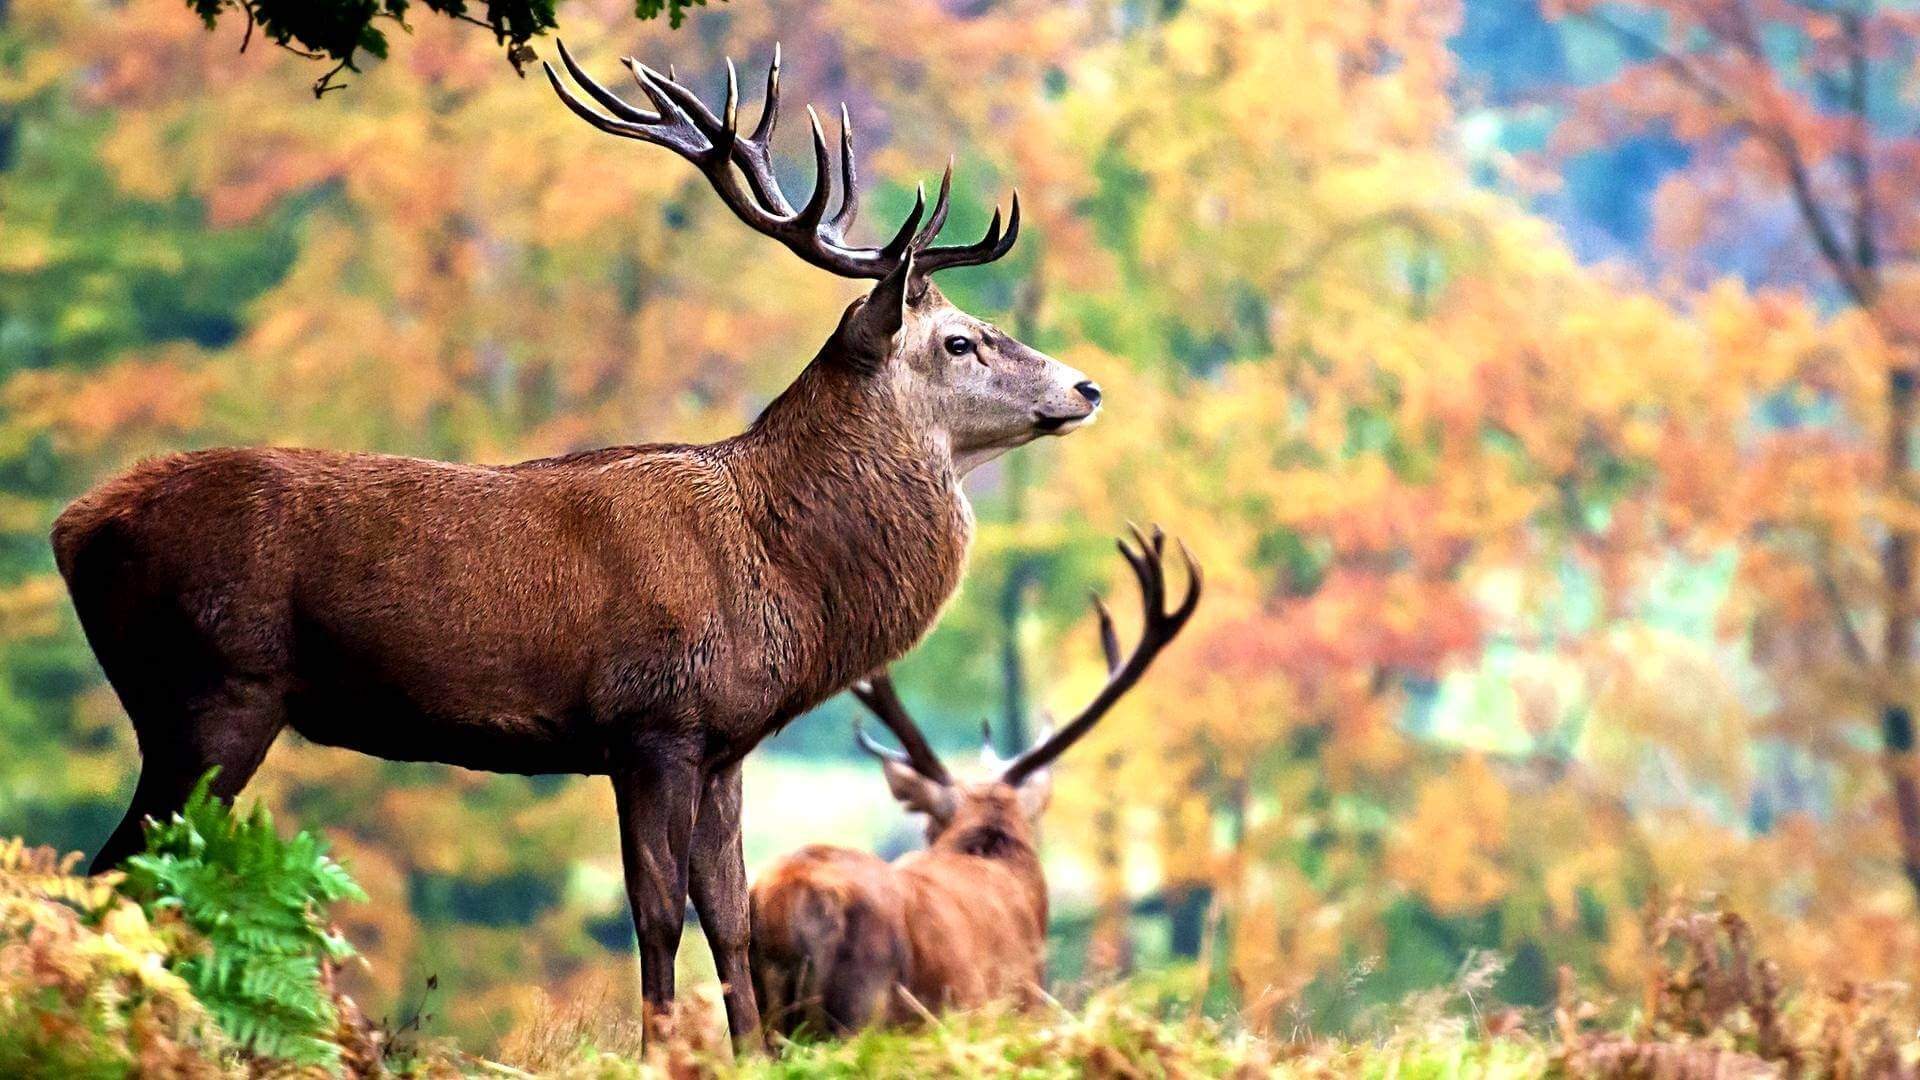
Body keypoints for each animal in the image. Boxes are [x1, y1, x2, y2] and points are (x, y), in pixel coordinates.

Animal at [52, 44, 1105, 1045]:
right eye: (960, 341)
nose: (1086, 387)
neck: (780, 578)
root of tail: (72, 527)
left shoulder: (724, 746)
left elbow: (729, 918)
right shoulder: (653, 724)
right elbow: (658, 917)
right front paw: (658, 1049)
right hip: (214, 689)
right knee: (122, 868)